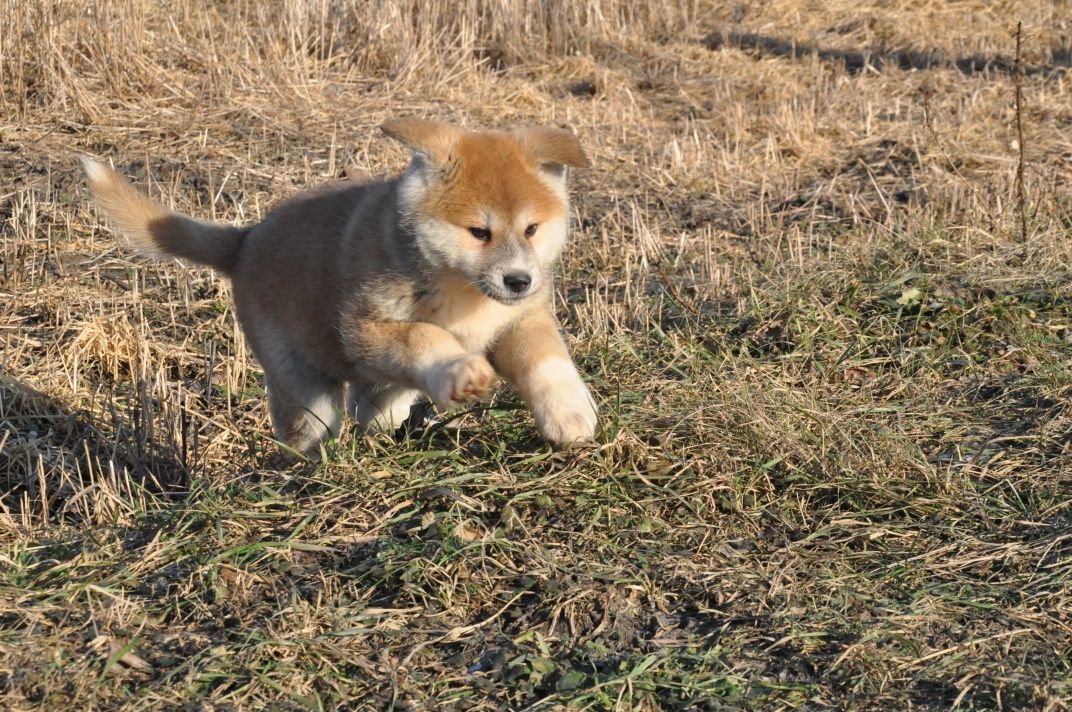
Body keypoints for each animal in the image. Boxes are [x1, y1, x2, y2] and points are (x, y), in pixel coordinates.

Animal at [81, 116, 604, 450]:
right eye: (479, 232)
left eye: (532, 229)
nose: (519, 280)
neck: (462, 291)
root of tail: (245, 240)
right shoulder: (366, 330)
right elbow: (425, 336)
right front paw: (461, 370)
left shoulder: (519, 320)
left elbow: (546, 361)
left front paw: (570, 415)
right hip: (302, 384)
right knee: (313, 428)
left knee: (373, 406)